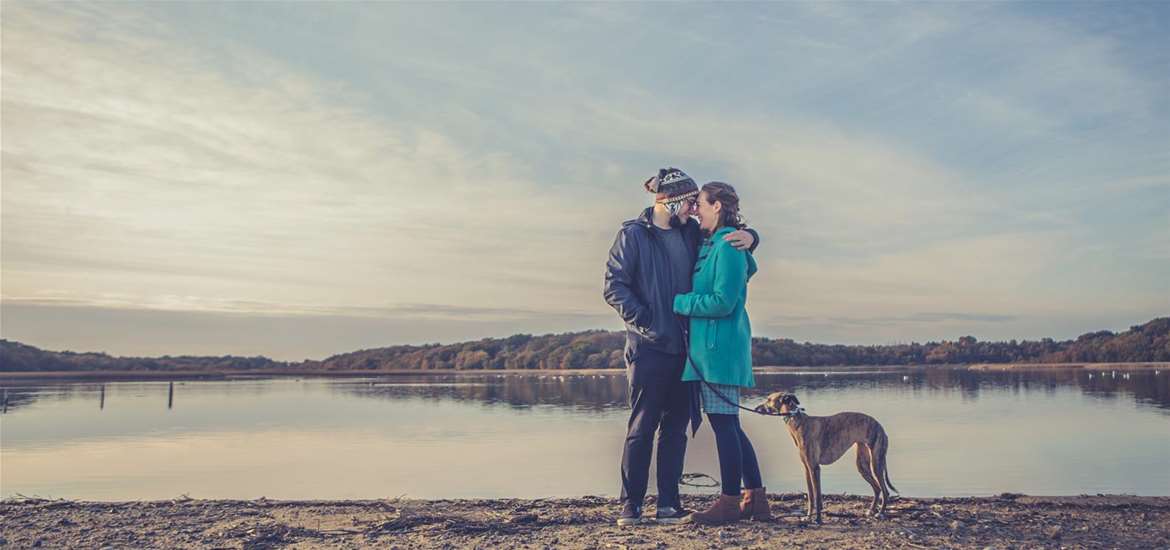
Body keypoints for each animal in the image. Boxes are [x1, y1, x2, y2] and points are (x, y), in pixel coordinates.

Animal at [753, 390, 898, 524]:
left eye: (769, 399)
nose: (756, 408)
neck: (798, 423)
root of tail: (881, 428)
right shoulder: (807, 469)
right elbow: (811, 496)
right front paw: (808, 517)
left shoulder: (814, 468)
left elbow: (817, 496)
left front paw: (817, 519)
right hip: (862, 465)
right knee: (877, 488)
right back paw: (871, 511)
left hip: (876, 463)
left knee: (885, 491)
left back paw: (880, 513)